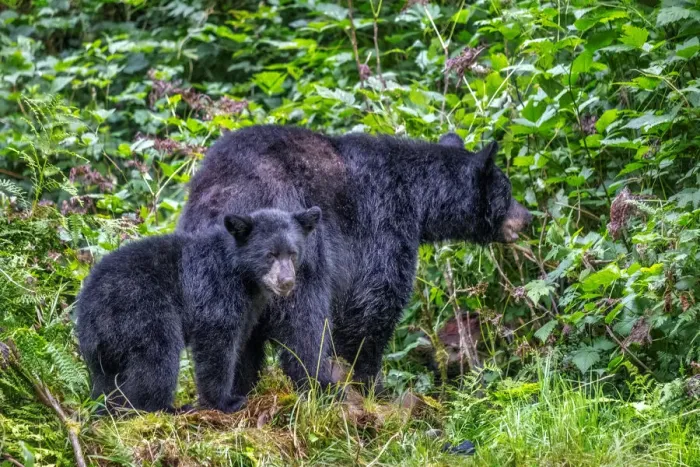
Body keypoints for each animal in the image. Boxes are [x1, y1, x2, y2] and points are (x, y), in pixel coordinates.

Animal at [76, 206, 322, 413]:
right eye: (270, 255)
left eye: (293, 253)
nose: (287, 281)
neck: (243, 275)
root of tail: (88, 308)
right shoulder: (216, 289)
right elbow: (216, 342)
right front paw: (226, 401)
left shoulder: (249, 305)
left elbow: (241, 341)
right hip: (139, 309)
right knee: (157, 356)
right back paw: (163, 408)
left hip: (103, 346)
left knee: (107, 377)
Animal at [177, 125, 531, 395]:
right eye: (508, 190)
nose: (527, 217)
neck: (418, 196)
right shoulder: (383, 223)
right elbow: (372, 305)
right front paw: (373, 385)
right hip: (295, 255)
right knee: (305, 323)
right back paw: (321, 386)